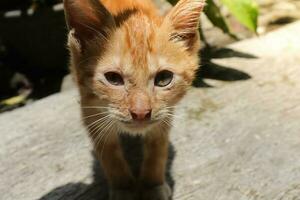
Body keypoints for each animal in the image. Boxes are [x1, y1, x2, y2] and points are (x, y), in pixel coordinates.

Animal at [63, 0, 204, 198]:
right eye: (113, 78)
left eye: (164, 78)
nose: (140, 112)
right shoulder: (91, 112)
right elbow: (110, 155)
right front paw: (123, 188)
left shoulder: (164, 115)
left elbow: (157, 149)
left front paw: (152, 185)